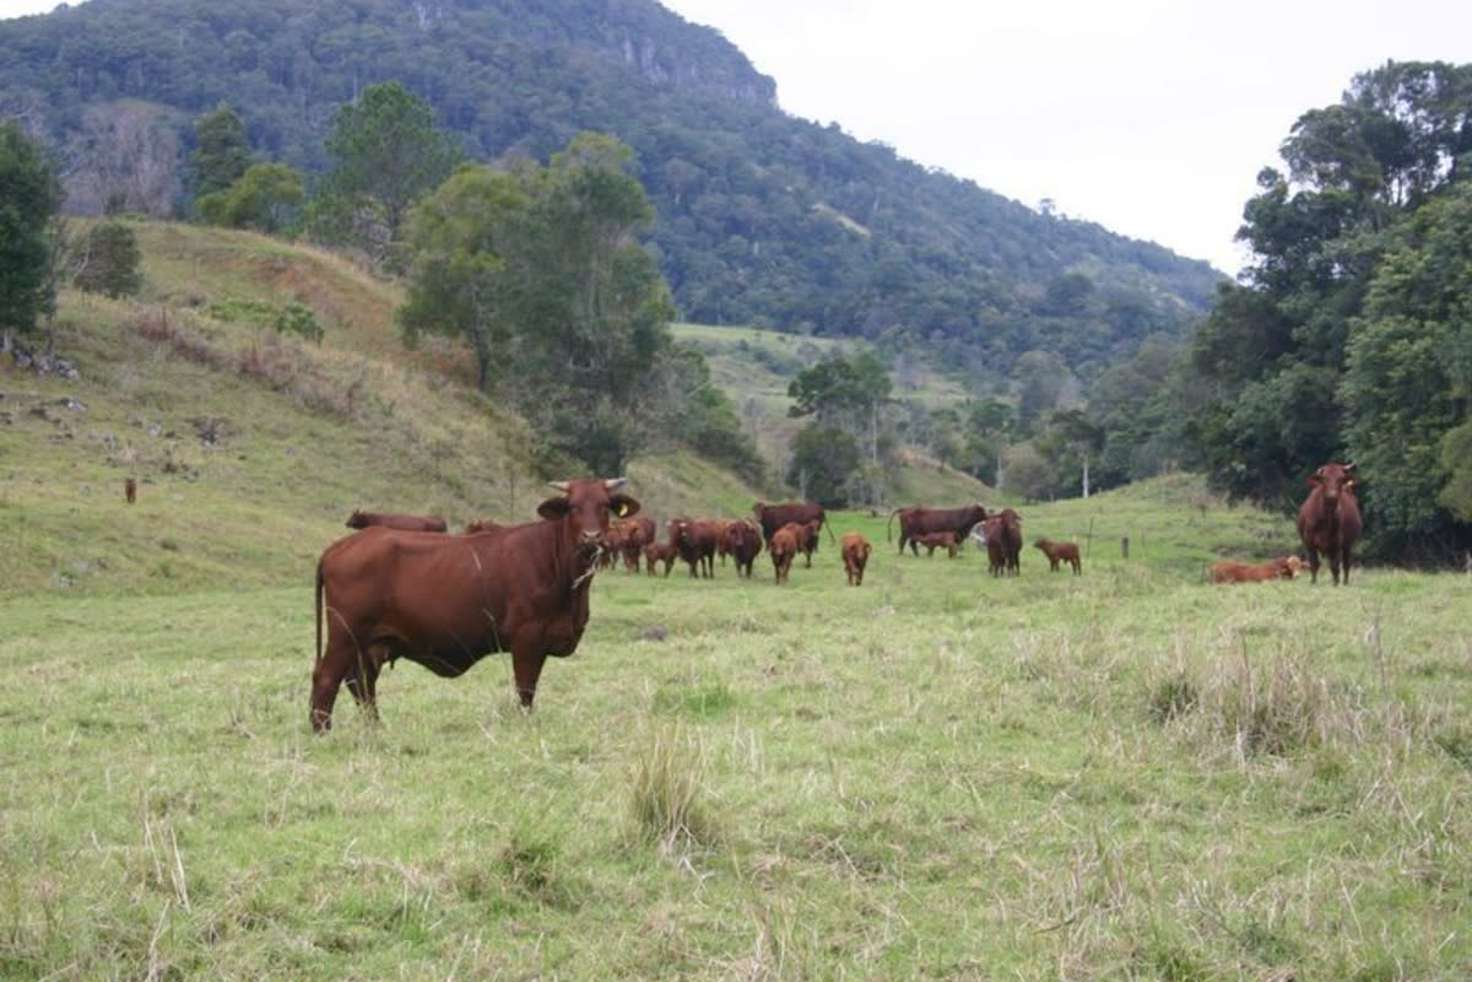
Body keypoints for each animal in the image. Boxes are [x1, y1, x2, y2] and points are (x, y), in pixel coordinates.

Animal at [313, 477, 641, 730]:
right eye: (573, 507)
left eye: (604, 506)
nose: (591, 536)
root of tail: (340, 546)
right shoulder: (527, 638)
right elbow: (525, 689)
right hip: (344, 635)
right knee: (327, 677)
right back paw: (322, 731)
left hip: (370, 644)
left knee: (360, 682)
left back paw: (375, 727)